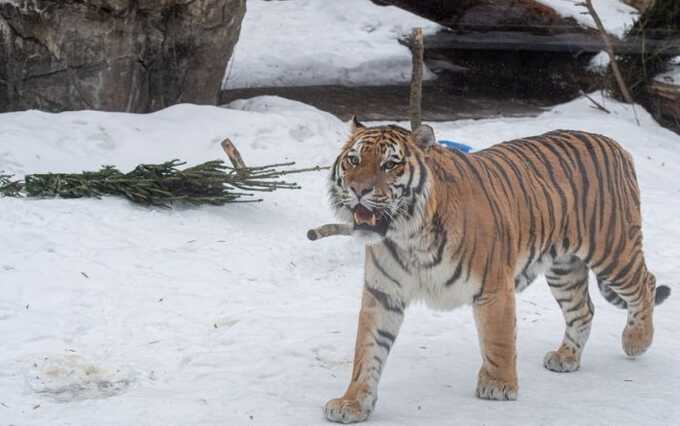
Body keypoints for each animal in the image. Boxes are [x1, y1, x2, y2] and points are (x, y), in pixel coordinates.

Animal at [322, 116, 668, 422]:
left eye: (389, 164)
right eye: (353, 160)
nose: (358, 190)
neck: (408, 237)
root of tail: (614, 144)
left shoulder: (493, 287)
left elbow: (498, 339)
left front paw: (498, 385)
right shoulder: (382, 295)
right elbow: (367, 352)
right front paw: (352, 402)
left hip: (613, 250)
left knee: (646, 283)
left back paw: (637, 339)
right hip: (564, 269)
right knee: (583, 310)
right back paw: (566, 357)